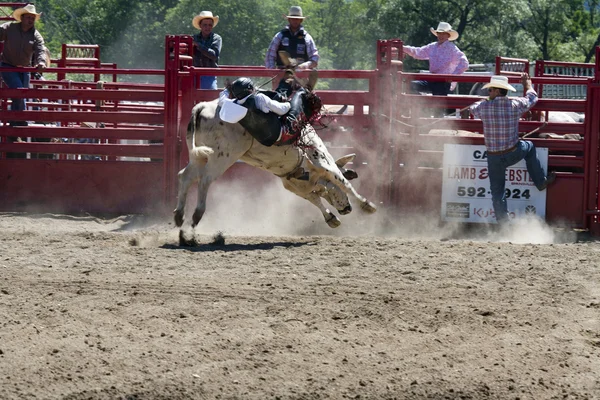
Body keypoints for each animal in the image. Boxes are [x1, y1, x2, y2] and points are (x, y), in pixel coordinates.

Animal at [172, 99, 376, 230]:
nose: (348, 209)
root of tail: (203, 107)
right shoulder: (324, 163)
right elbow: (343, 183)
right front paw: (367, 205)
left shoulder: (293, 185)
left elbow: (314, 198)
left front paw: (331, 218)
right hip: (222, 157)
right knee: (205, 179)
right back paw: (197, 213)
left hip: (199, 156)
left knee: (185, 176)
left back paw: (179, 215)